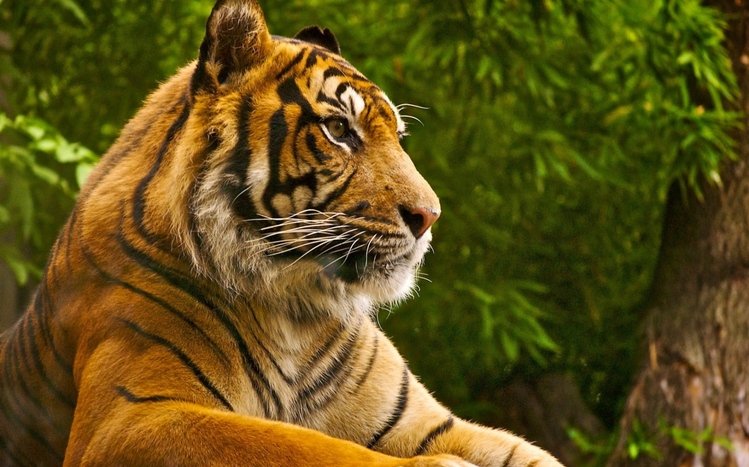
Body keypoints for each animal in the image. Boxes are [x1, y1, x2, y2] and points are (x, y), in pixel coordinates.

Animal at [0, 1, 564, 466]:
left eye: (399, 138)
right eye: (339, 130)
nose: (430, 216)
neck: (294, 309)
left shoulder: (427, 422)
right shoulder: (131, 417)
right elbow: (306, 447)